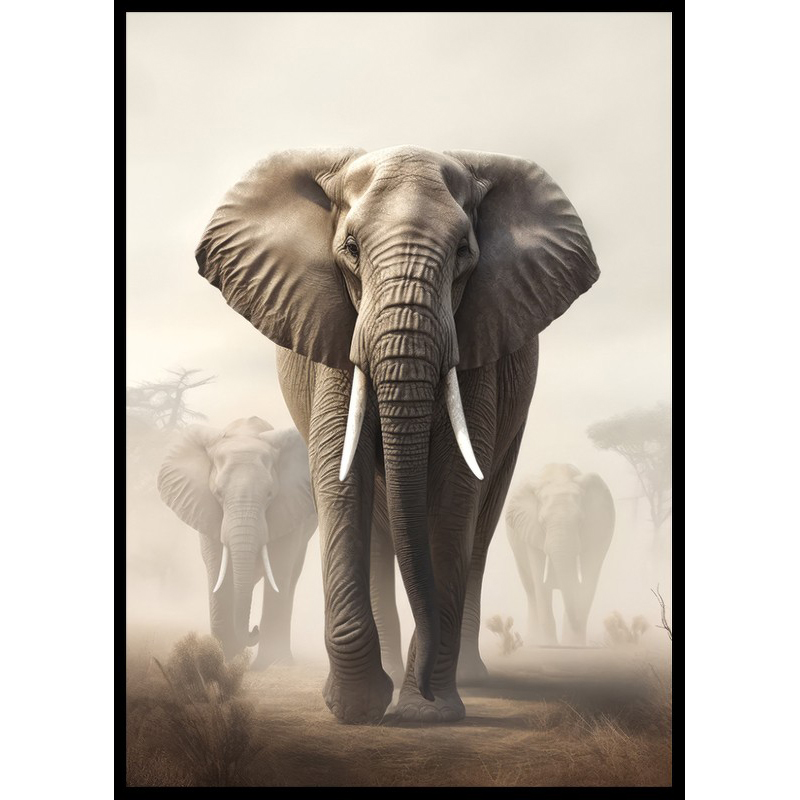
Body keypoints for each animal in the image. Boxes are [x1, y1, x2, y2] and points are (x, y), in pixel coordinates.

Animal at [157, 416, 318, 668]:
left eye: (270, 494)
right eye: (218, 493)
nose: (254, 629)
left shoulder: (290, 507)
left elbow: (279, 565)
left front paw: (269, 664)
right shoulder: (205, 508)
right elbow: (216, 567)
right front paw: (222, 660)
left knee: (291, 575)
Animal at [194, 145, 599, 722]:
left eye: (463, 252)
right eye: (350, 249)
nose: (425, 692)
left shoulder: (478, 343)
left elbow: (455, 492)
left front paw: (429, 713)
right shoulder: (334, 331)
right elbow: (340, 476)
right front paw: (358, 709)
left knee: (481, 527)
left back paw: (467, 680)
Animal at [505, 464, 615, 646]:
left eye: (580, 521)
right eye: (542, 522)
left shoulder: (597, 532)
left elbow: (588, 583)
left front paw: (575, 646)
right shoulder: (531, 531)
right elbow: (540, 584)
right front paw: (549, 646)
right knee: (531, 590)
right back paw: (534, 641)